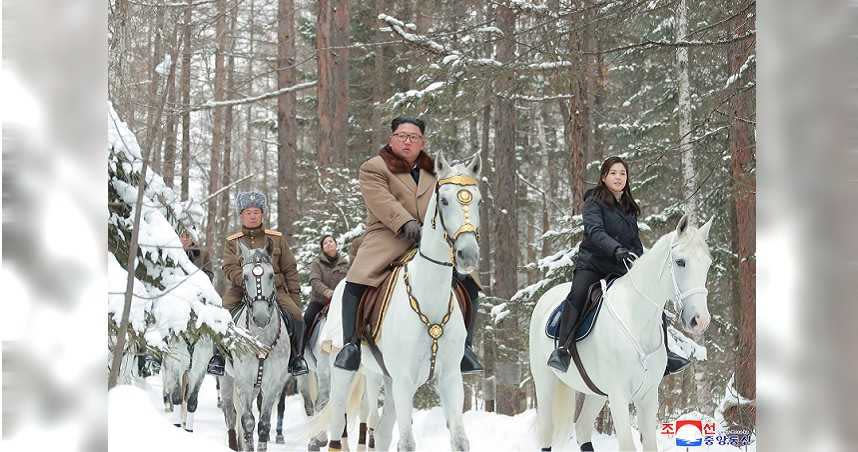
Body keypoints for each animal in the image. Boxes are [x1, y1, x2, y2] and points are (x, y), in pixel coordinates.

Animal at [221, 244, 290, 452]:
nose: (260, 317)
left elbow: (264, 424)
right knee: (230, 413)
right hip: (227, 380)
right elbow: (248, 421)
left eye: (271, 275)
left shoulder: (273, 384)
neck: (260, 340)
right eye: (245, 277)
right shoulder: (243, 381)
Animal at [316, 153, 478, 452]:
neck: (429, 300)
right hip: (345, 371)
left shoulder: (450, 377)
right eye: (444, 200)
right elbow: (407, 443)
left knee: (380, 432)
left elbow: (459, 440)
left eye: (478, 200)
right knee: (337, 422)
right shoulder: (404, 379)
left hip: (387, 380)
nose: (468, 254)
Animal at [528, 214, 716, 450]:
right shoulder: (619, 396)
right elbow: (627, 445)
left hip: (596, 393)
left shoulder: (648, 397)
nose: (700, 320)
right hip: (545, 382)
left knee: (582, 428)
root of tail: (545, 298)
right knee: (547, 431)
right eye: (680, 262)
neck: (636, 319)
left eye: (707, 264)